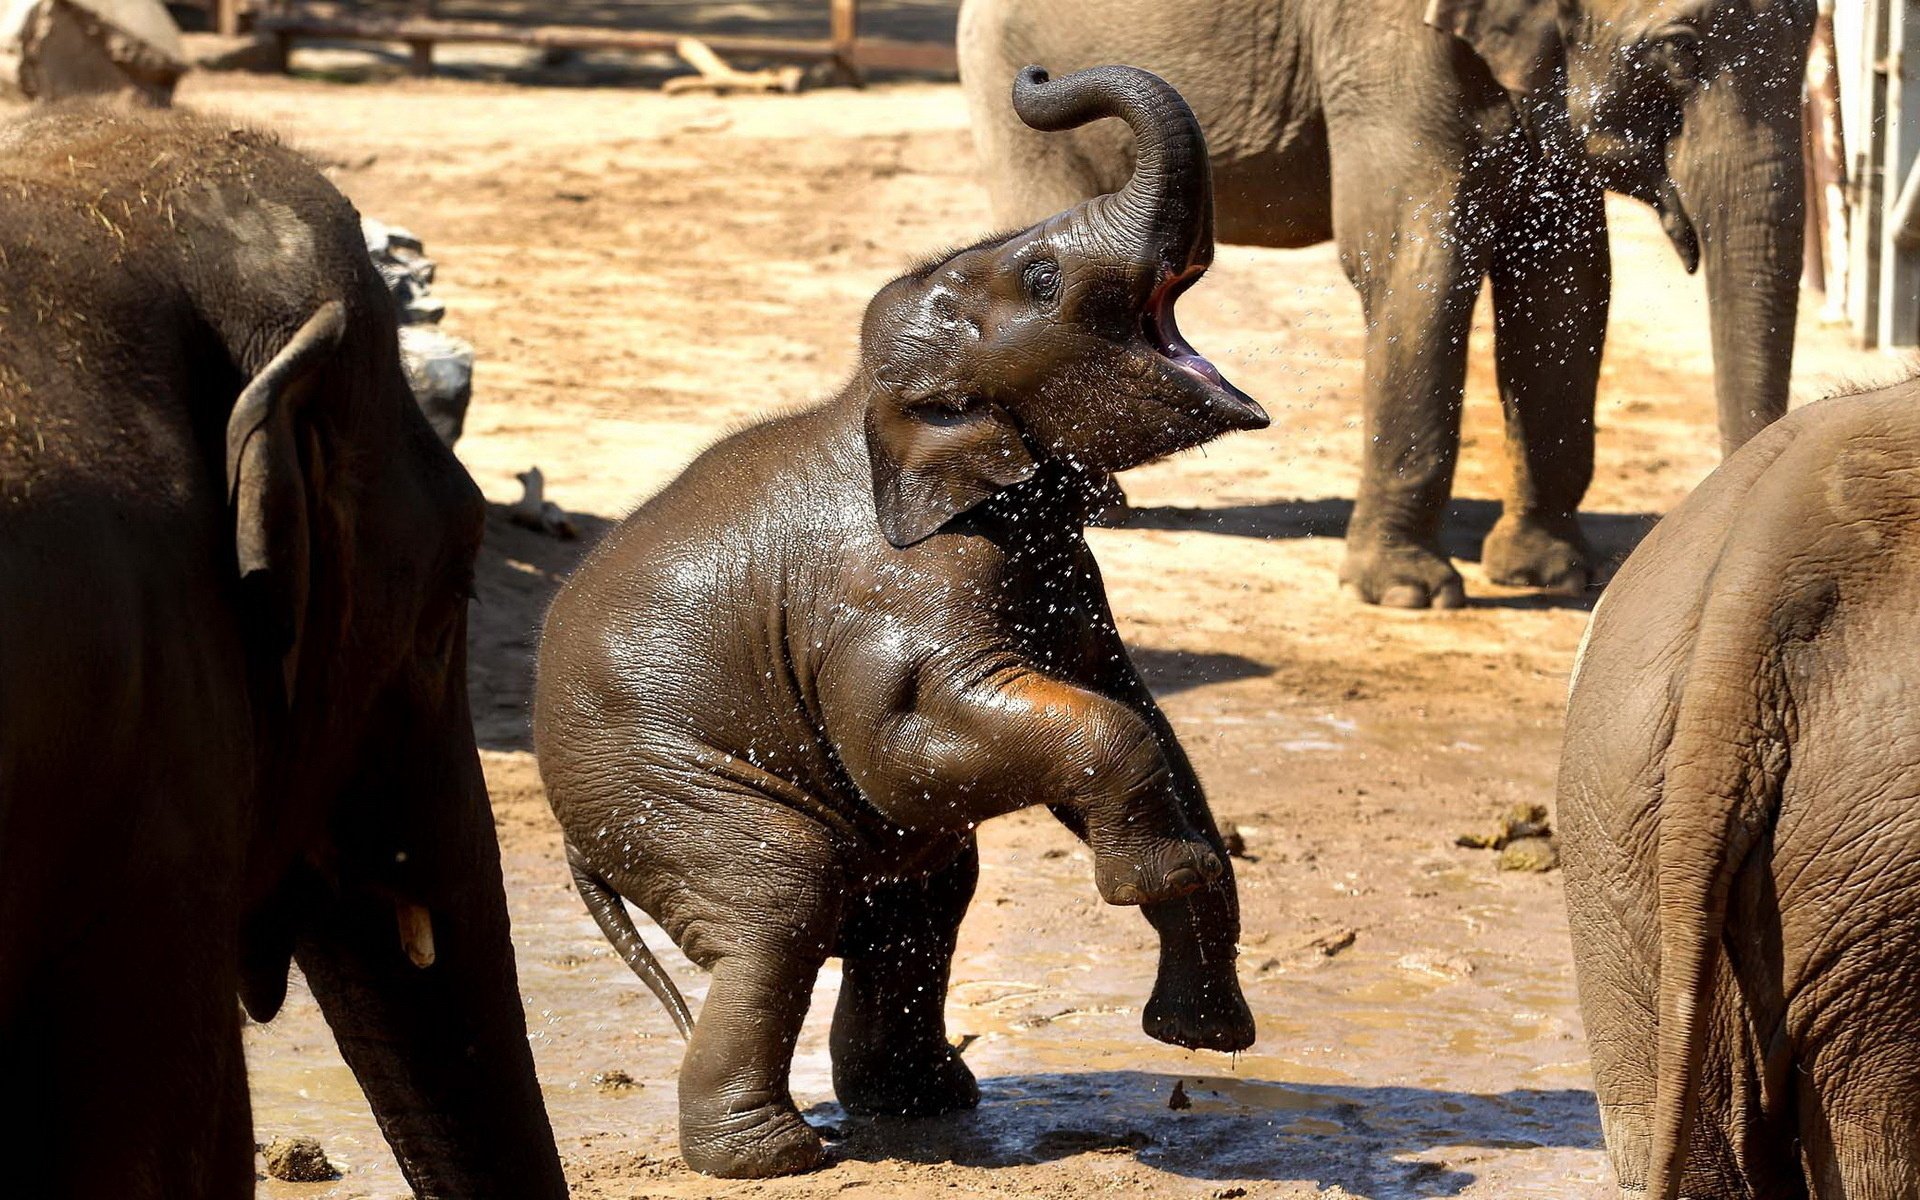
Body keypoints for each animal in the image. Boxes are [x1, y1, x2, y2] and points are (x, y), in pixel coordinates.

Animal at [533, 63, 1267, 1167]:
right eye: (1041, 278)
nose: (1035, 79)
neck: (885, 407)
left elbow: (1128, 707)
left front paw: (1199, 1005)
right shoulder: (890, 589)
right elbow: (909, 735)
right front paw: (1161, 879)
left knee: (921, 903)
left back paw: (923, 1106)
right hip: (659, 787)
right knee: (780, 904)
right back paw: (777, 1158)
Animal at [960, 0, 1812, 606]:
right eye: (1678, 49)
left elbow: (1566, 277)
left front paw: (1547, 574)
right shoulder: (1382, 46)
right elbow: (1416, 254)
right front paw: (1407, 595)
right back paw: (1092, 509)